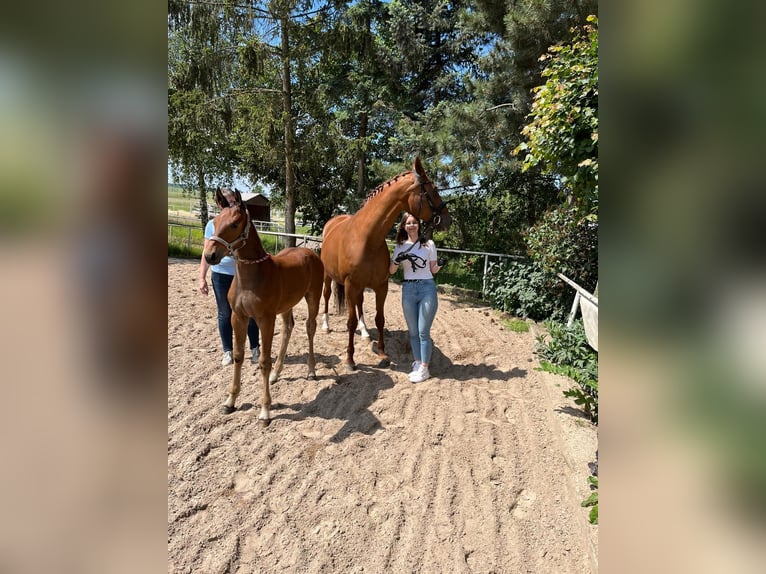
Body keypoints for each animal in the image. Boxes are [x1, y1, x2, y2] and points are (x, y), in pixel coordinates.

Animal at [202, 187, 326, 426]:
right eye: (216, 220)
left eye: (234, 224)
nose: (210, 255)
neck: (251, 277)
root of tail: (310, 252)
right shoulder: (238, 317)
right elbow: (239, 355)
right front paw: (230, 401)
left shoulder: (266, 319)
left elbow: (263, 361)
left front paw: (265, 411)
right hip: (286, 305)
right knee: (288, 328)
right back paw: (277, 374)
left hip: (313, 297)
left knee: (310, 327)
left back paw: (311, 370)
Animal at [320, 158, 452, 374]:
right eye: (432, 190)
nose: (448, 220)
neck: (367, 238)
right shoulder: (350, 285)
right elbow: (350, 322)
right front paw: (350, 360)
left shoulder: (381, 286)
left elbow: (379, 319)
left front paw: (382, 354)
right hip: (328, 276)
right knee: (326, 295)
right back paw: (325, 325)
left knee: (359, 304)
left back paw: (365, 332)